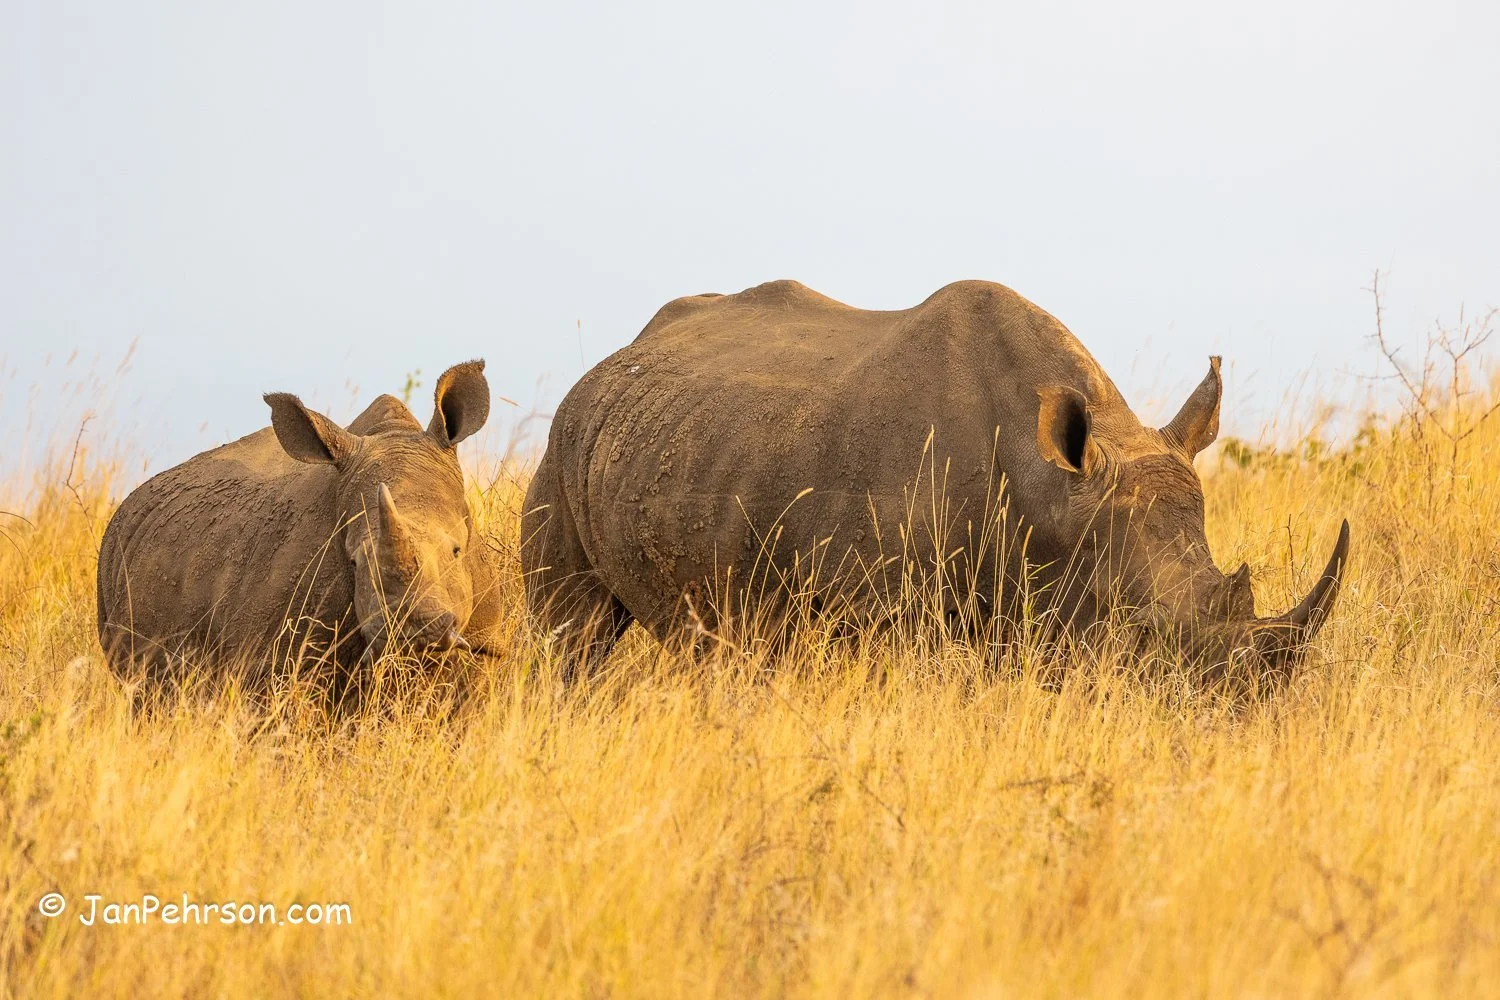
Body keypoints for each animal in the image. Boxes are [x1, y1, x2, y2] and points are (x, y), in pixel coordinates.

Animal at [522, 280, 1349, 679]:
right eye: (1142, 632)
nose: (1245, 709)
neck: (1052, 491)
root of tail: (618, 356)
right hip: (561, 449)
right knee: (577, 642)